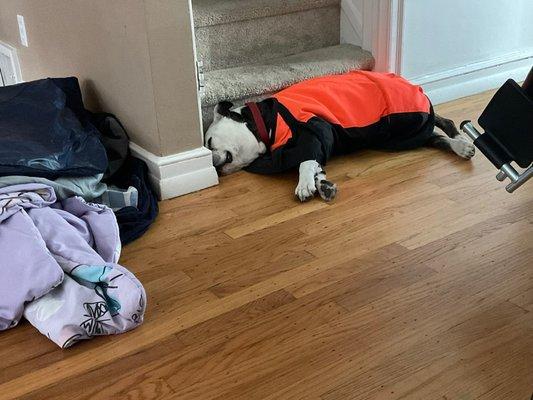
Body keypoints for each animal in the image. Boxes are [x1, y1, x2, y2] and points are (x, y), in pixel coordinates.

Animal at [204, 70, 474, 202]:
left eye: (208, 142)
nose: (213, 165)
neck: (263, 122)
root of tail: (414, 86)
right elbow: (315, 165)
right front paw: (321, 184)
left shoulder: (315, 131)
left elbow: (305, 161)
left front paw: (305, 183)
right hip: (402, 135)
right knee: (435, 134)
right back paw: (461, 144)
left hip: (406, 121)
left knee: (441, 122)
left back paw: (461, 142)